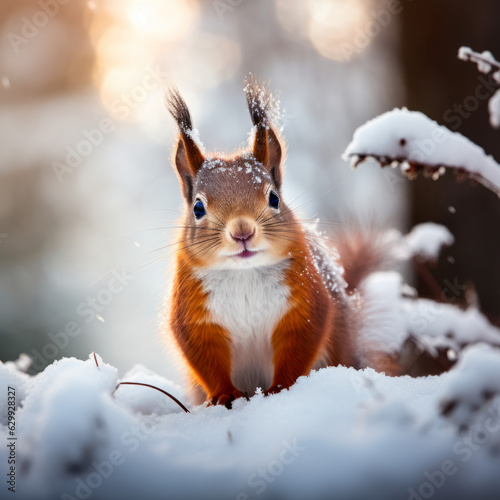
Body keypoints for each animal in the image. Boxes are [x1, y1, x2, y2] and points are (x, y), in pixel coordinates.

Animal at [164, 77, 394, 406]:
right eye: (197, 208)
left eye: (274, 198)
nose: (242, 232)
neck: (244, 274)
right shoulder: (194, 315)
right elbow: (205, 357)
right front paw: (224, 394)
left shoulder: (304, 303)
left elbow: (298, 348)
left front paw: (280, 389)